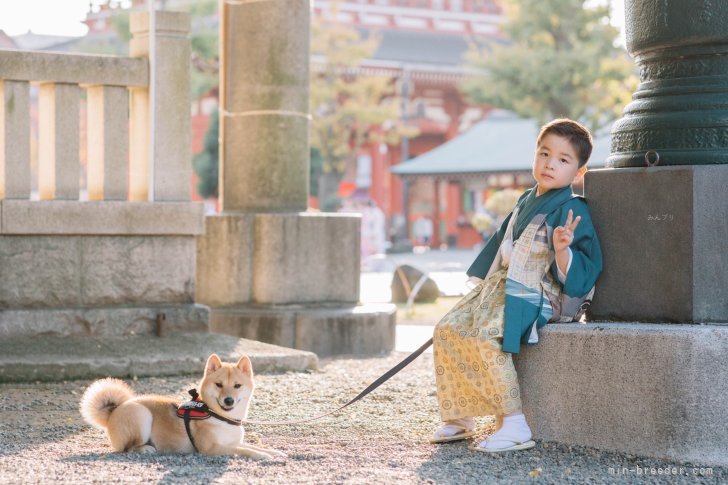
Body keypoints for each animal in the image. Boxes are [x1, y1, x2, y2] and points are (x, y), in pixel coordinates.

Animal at [79, 352, 284, 458]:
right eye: (219, 385)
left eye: (237, 386)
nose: (229, 400)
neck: (220, 416)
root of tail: (114, 411)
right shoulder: (211, 448)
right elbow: (244, 450)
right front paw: (264, 456)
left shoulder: (232, 441)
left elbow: (252, 446)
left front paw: (273, 452)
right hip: (141, 415)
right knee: (126, 448)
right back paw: (145, 448)